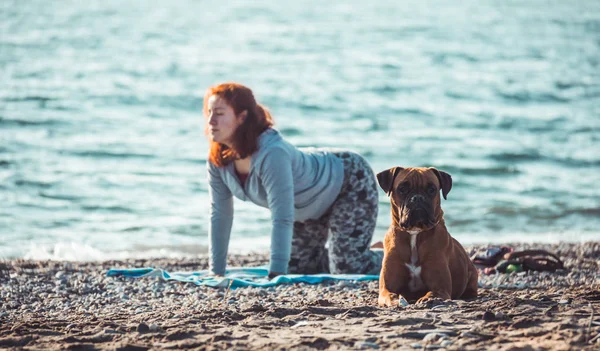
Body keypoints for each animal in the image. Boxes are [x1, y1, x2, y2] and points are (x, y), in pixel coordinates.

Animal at [376, 168, 478, 308]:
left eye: (431, 189)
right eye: (402, 188)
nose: (417, 198)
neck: (415, 232)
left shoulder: (440, 288)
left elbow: (432, 293)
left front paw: (427, 299)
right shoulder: (386, 289)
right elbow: (391, 295)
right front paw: (398, 300)